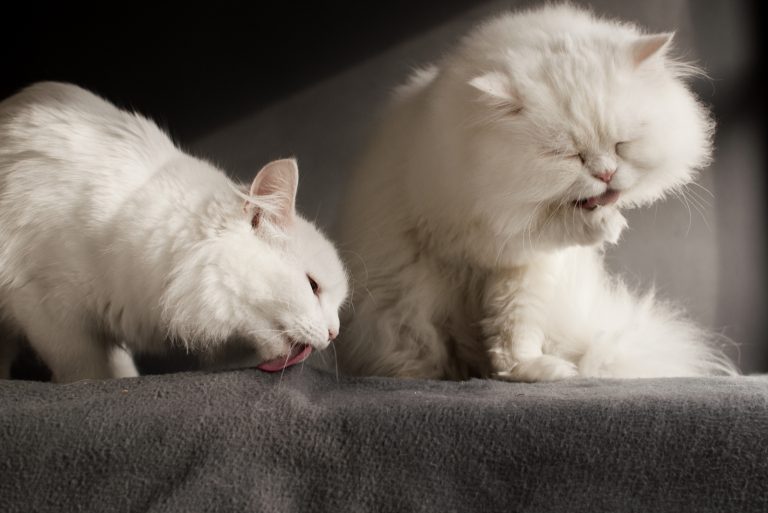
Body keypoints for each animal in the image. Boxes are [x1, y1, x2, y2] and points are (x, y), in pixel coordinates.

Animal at [336, 4, 736, 380]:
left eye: (621, 145)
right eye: (570, 155)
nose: (606, 173)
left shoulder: (524, 264)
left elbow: (512, 326)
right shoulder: (468, 233)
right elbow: (548, 232)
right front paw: (605, 225)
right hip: (403, 311)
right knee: (423, 352)